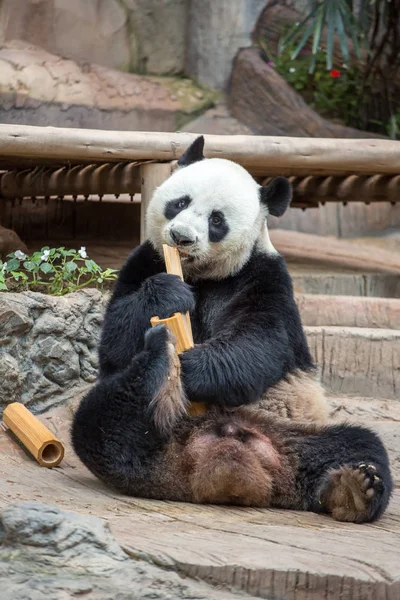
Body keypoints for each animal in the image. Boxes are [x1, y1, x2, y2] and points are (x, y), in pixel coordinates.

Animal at [70, 136, 392, 520]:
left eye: (216, 219)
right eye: (181, 202)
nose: (180, 236)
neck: (201, 275)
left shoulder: (262, 275)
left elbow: (260, 339)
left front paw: (193, 368)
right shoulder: (145, 259)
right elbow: (114, 340)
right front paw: (167, 296)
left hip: (297, 431)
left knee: (359, 445)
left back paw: (354, 490)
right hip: (157, 422)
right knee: (99, 422)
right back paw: (157, 357)